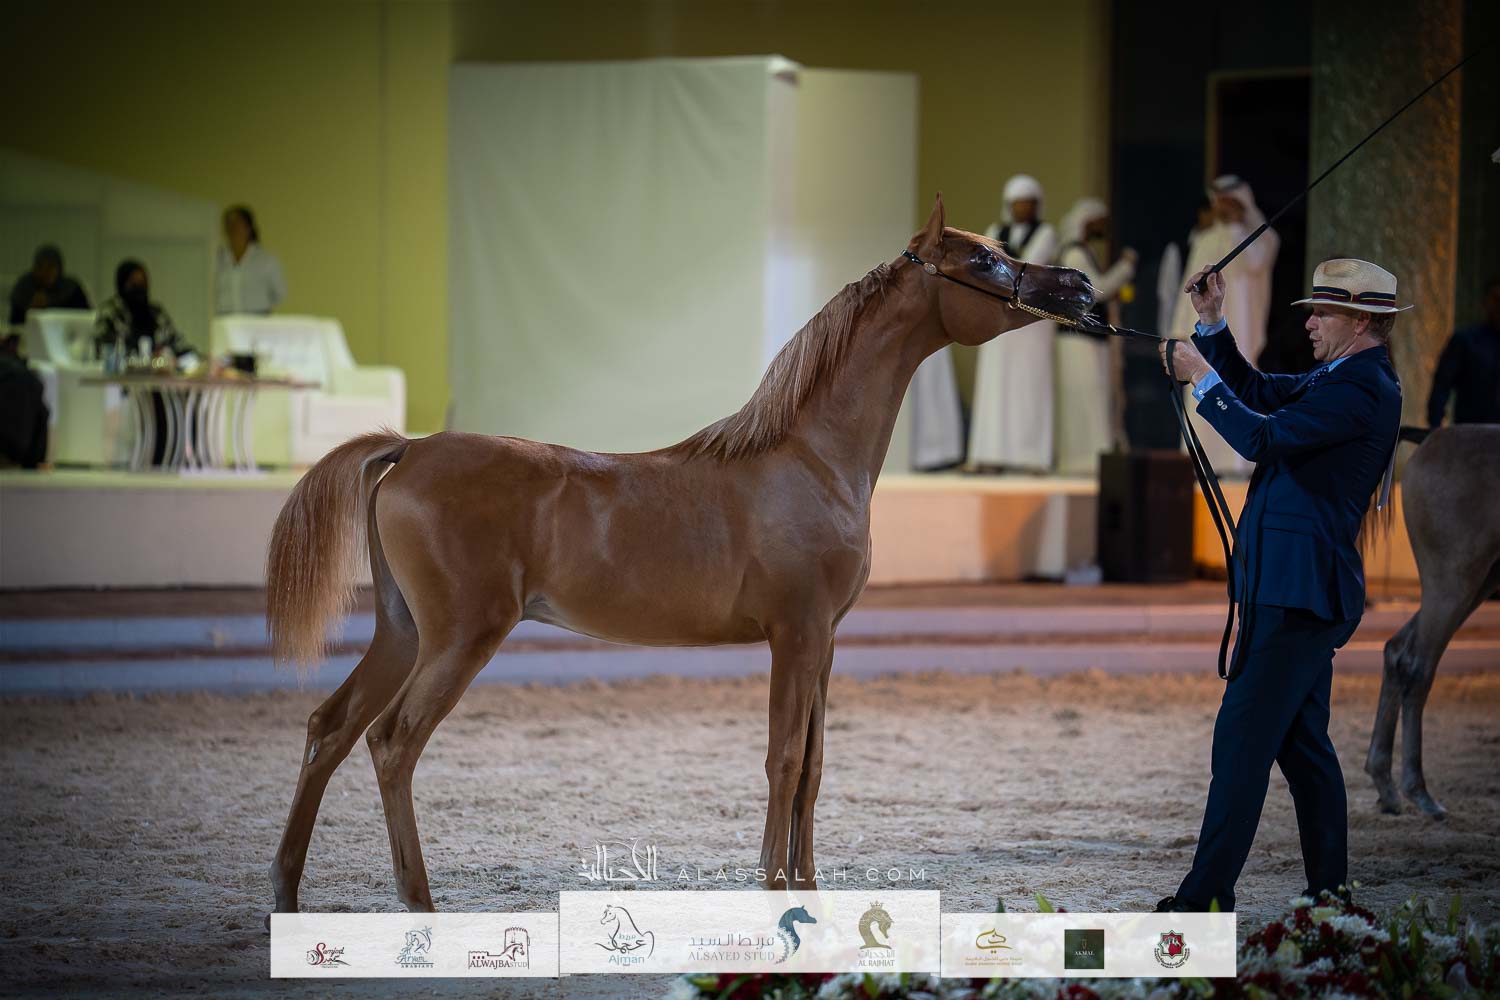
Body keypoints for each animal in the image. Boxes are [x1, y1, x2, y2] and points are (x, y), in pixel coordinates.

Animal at [264, 194, 1095, 917]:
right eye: (983, 259)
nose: (1081, 287)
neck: (810, 458)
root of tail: (407, 450)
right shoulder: (795, 635)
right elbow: (782, 759)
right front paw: (774, 891)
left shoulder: (825, 641)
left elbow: (814, 766)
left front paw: (809, 889)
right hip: (462, 637)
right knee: (392, 742)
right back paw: (419, 903)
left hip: (402, 632)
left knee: (330, 727)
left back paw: (289, 891)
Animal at [1366, 424, 1500, 819]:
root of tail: (1431, 436)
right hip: (1454, 580)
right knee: (1417, 666)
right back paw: (1418, 790)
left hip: (1480, 579)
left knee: (1397, 650)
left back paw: (1386, 785)